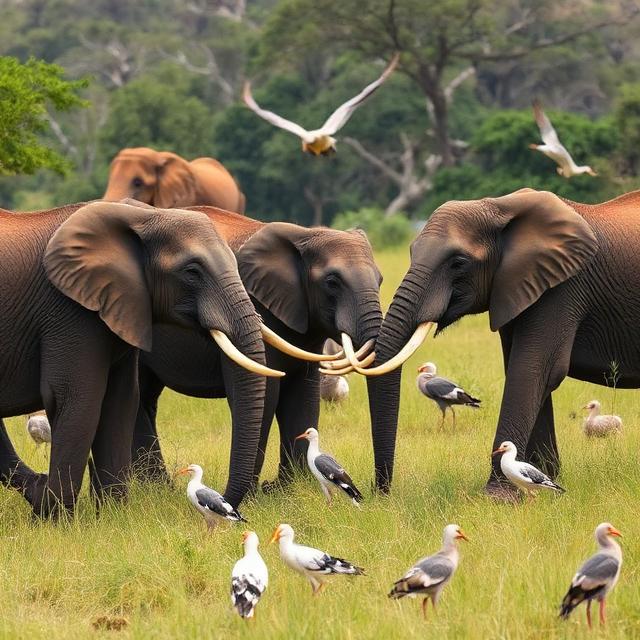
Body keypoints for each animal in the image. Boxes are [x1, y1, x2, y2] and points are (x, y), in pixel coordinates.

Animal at [0, 200, 281, 517]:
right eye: (192, 271)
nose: (223, 505)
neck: (142, 215)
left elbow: (121, 399)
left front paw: (112, 516)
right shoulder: (68, 310)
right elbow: (78, 398)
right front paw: (56, 521)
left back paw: (36, 493)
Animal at [131, 206, 393, 492]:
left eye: (380, 280)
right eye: (332, 282)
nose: (375, 488)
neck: (304, 234)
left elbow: (304, 393)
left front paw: (291, 487)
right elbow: (268, 395)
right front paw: (263, 493)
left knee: (146, 396)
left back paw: (156, 487)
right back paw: (154, 488)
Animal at [357, 188, 640, 497]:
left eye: (459, 262)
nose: (378, 492)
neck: (499, 205)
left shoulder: (564, 288)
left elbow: (531, 370)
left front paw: (500, 496)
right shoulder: (516, 286)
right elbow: (527, 371)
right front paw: (544, 479)